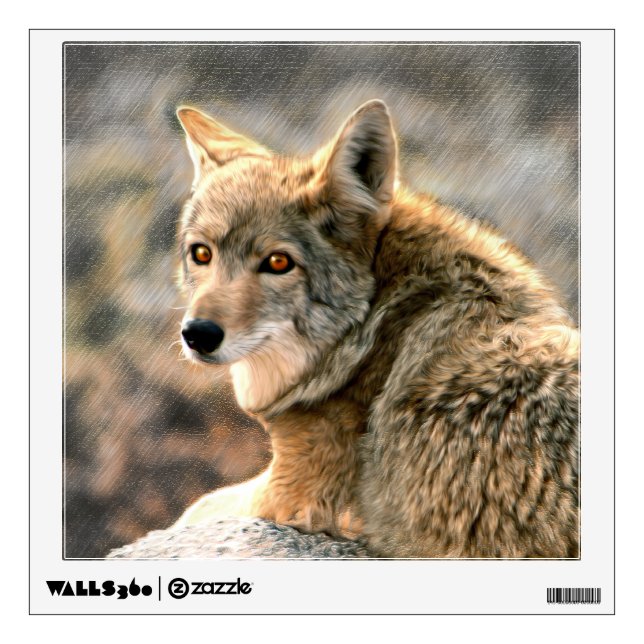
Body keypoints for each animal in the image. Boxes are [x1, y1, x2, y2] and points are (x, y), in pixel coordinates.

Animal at [174, 100, 579, 558]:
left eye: (278, 262)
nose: (199, 334)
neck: (371, 327)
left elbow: (194, 507)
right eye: (201, 254)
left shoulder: (287, 495)